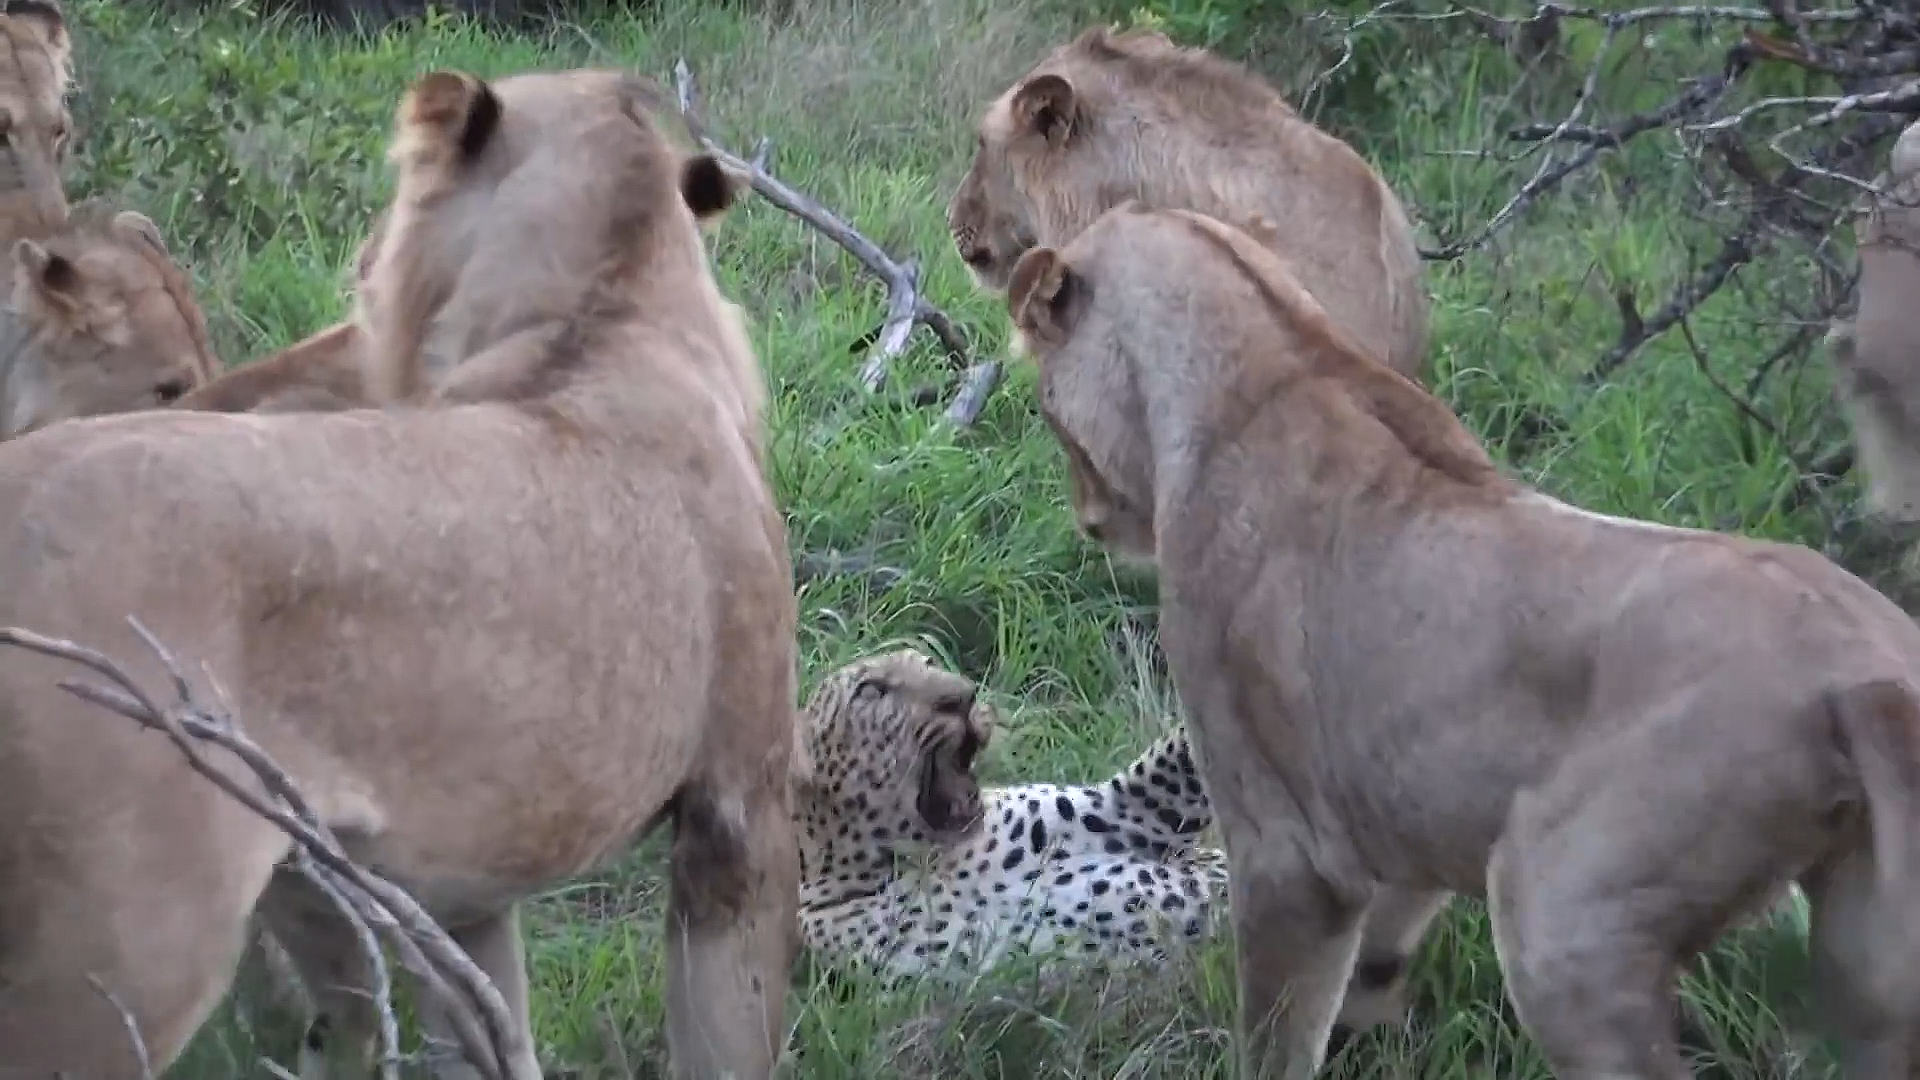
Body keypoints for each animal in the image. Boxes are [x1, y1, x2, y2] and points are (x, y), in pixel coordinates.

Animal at [1013, 199, 1920, 1076]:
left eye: (1046, 404)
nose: (1087, 519)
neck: (1282, 358)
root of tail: (1867, 675)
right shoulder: (1410, 826)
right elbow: (1370, 975)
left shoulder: (1288, 852)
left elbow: (1276, 1040)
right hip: (1863, 957)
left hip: (1559, 917)